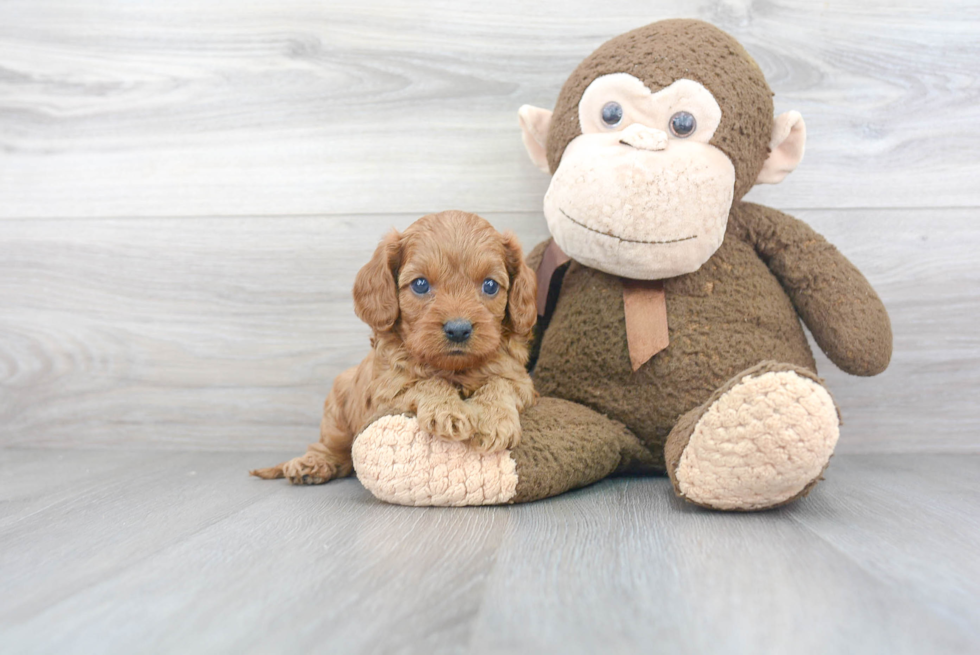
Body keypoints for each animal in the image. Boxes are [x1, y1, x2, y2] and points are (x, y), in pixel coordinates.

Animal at [251, 211, 536, 486]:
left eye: (490, 285)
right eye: (420, 284)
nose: (458, 330)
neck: (454, 369)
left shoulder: (521, 380)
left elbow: (500, 383)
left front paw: (494, 421)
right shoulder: (386, 390)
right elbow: (425, 382)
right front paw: (447, 411)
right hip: (337, 414)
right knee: (330, 448)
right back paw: (311, 464)